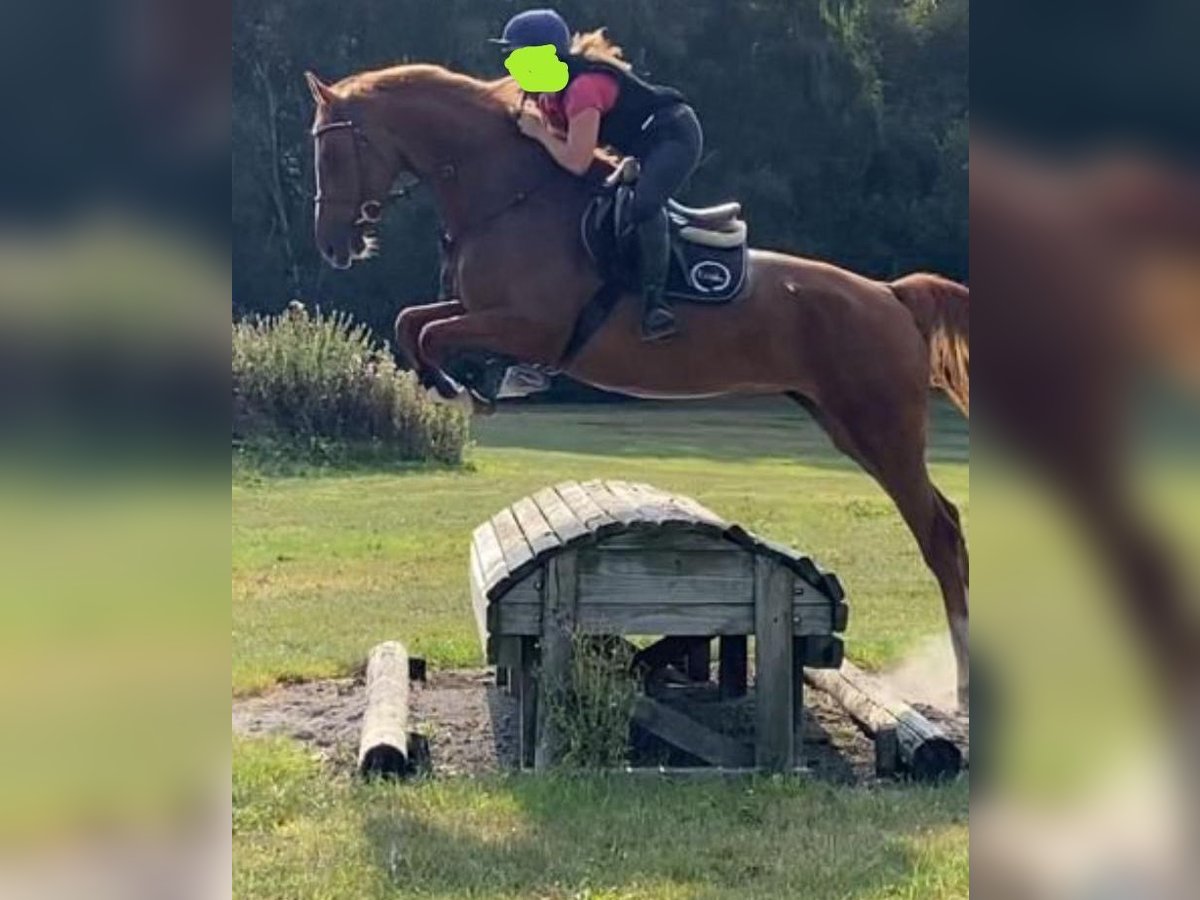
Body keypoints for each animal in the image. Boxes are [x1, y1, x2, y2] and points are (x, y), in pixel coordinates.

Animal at [304, 63, 969, 710]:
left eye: (331, 153)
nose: (333, 245)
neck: (510, 197)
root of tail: (890, 295)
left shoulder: (528, 326)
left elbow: (431, 330)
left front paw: (462, 388)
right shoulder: (478, 309)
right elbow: (411, 322)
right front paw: (451, 384)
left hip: (882, 429)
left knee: (940, 532)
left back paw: (962, 680)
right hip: (845, 423)